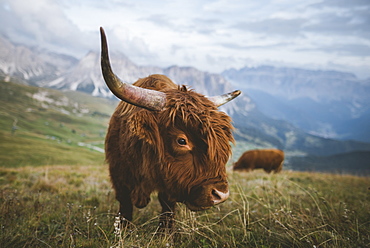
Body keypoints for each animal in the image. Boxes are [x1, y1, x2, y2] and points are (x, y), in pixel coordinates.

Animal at [99, 27, 241, 231]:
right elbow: (125, 206)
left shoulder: (169, 186)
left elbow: (167, 207)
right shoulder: (119, 175)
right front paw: (122, 230)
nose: (220, 195)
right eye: (182, 140)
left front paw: (165, 233)